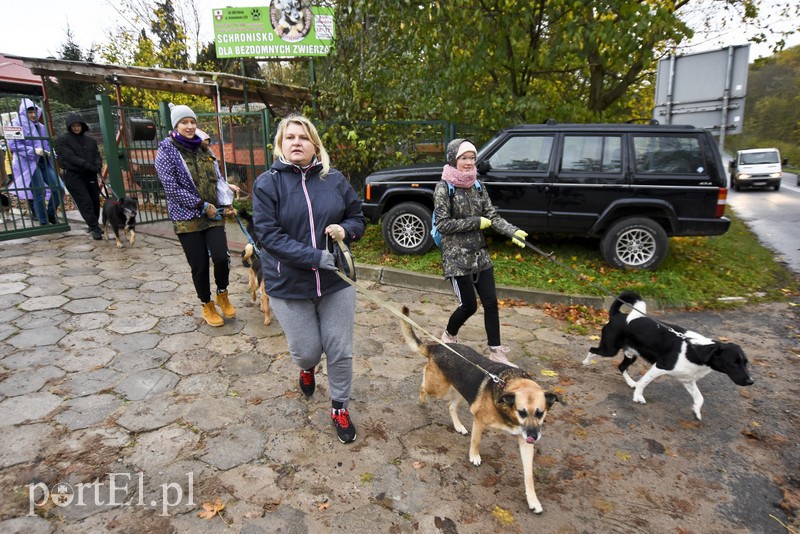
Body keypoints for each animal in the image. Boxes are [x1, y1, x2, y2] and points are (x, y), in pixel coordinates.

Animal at [398, 308, 560, 512]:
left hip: (461, 389)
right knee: (423, 387)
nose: (534, 437)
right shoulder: (480, 420)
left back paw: (458, 426)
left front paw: (533, 500)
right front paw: (474, 456)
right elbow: (476, 441)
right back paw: (421, 400)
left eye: (540, 413)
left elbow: (529, 475)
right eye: (522, 411)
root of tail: (437, 347)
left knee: (450, 406)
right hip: (438, 388)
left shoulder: (525, 441)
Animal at [584, 292, 752, 420]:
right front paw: (638, 397)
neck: (695, 349)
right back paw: (585, 362)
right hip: (609, 349)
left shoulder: (687, 379)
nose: (751, 381)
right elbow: (643, 382)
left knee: (621, 366)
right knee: (592, 349)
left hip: (631, 354)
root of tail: (618, 315)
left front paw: (696, 412)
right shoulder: (660, 366)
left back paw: (630, 382)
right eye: (733, 363)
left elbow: (699, 397)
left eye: (745, 363)